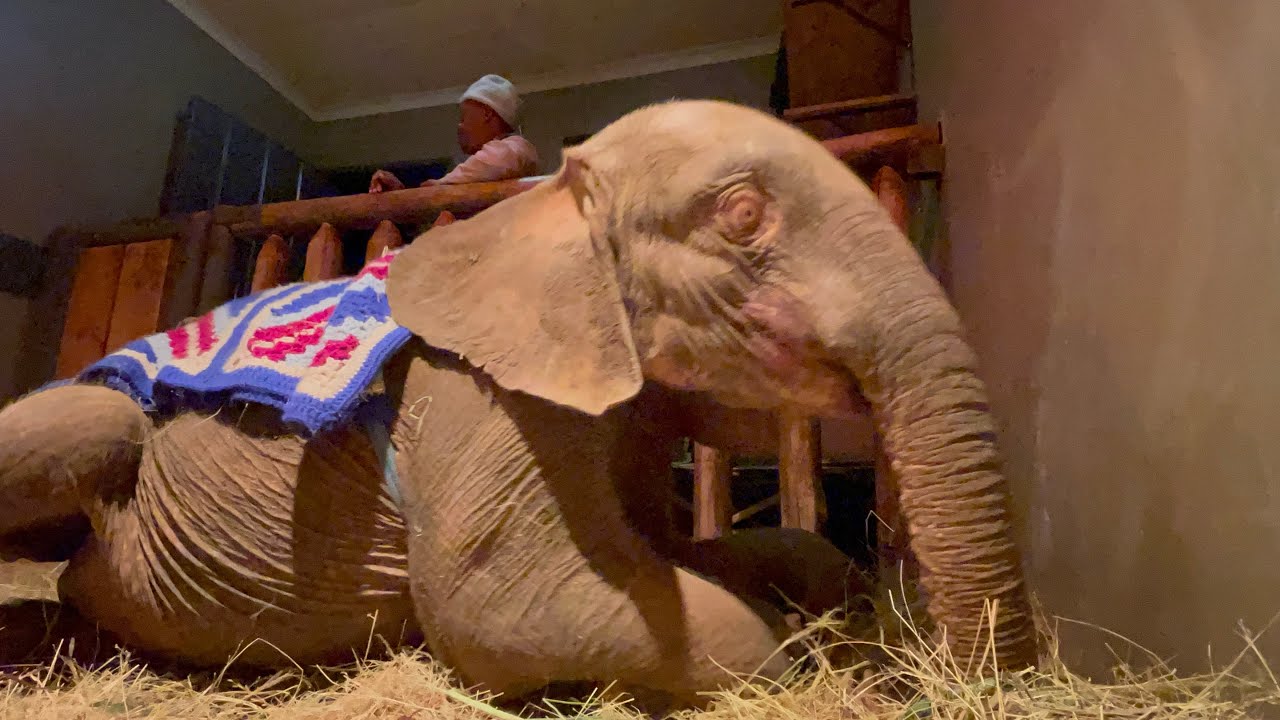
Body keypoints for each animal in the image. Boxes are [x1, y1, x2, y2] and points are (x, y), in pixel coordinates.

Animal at [0, 99, 1034, 703]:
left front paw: (833, 599)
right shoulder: (482, 397)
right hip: (93, 416)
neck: (547, 204)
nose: (978, 683)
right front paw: (804, 659)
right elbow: (507, 608)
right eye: (743, 217)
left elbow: (688, 555)